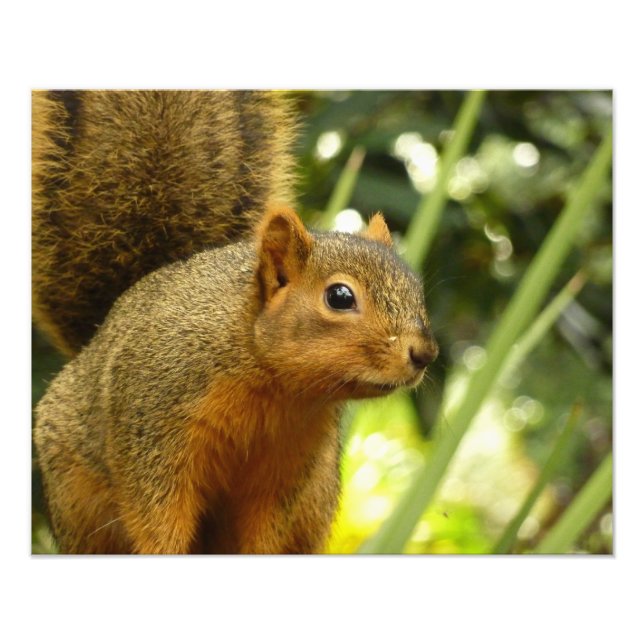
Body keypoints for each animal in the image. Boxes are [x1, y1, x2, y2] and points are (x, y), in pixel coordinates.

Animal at [32, 90, 439, 554]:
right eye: (339, 296)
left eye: (416, 288)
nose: (425, 353)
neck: (272, 385)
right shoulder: (153, 428)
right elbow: (156, 517)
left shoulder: (287, 469)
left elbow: (264, 530)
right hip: (76, 497)